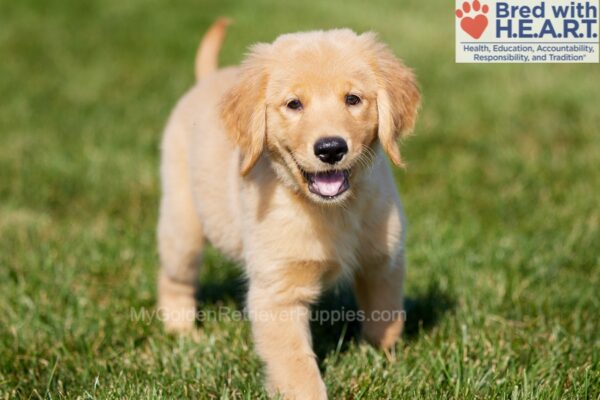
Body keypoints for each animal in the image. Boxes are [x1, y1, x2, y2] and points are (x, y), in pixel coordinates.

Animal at [159, 17, 422, 398]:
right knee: (174, 277)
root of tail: (208, 77)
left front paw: (382, 359)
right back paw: (182, 332)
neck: (331, 210)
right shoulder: (277, 293)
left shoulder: (383, 260)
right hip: (182, 224)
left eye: (353, 99)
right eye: (294, 104)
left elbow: (386, 315)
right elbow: (296, 365)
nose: (331, 149)